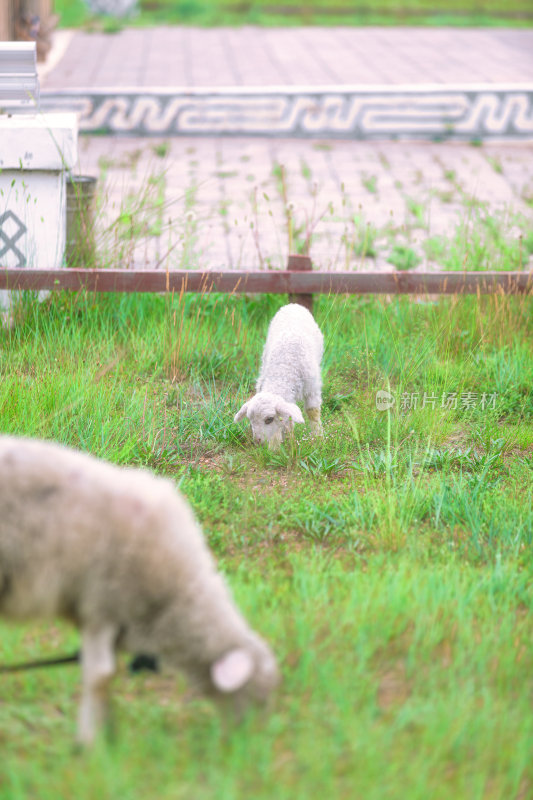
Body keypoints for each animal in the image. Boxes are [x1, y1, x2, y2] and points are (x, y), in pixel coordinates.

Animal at [0, 434, 280, 748]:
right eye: (254, 697)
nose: (250, 747)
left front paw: (107, 733)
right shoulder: (101, 605)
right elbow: (100, 676)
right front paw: (91, 745)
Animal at [234, 302, 324, 446]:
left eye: (269, 419)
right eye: (250, 420)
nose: (257, 441)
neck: (283, 371)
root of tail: (293, 305)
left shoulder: (312, 389)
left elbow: (312, 412)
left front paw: (318, 438)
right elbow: (287, 420)